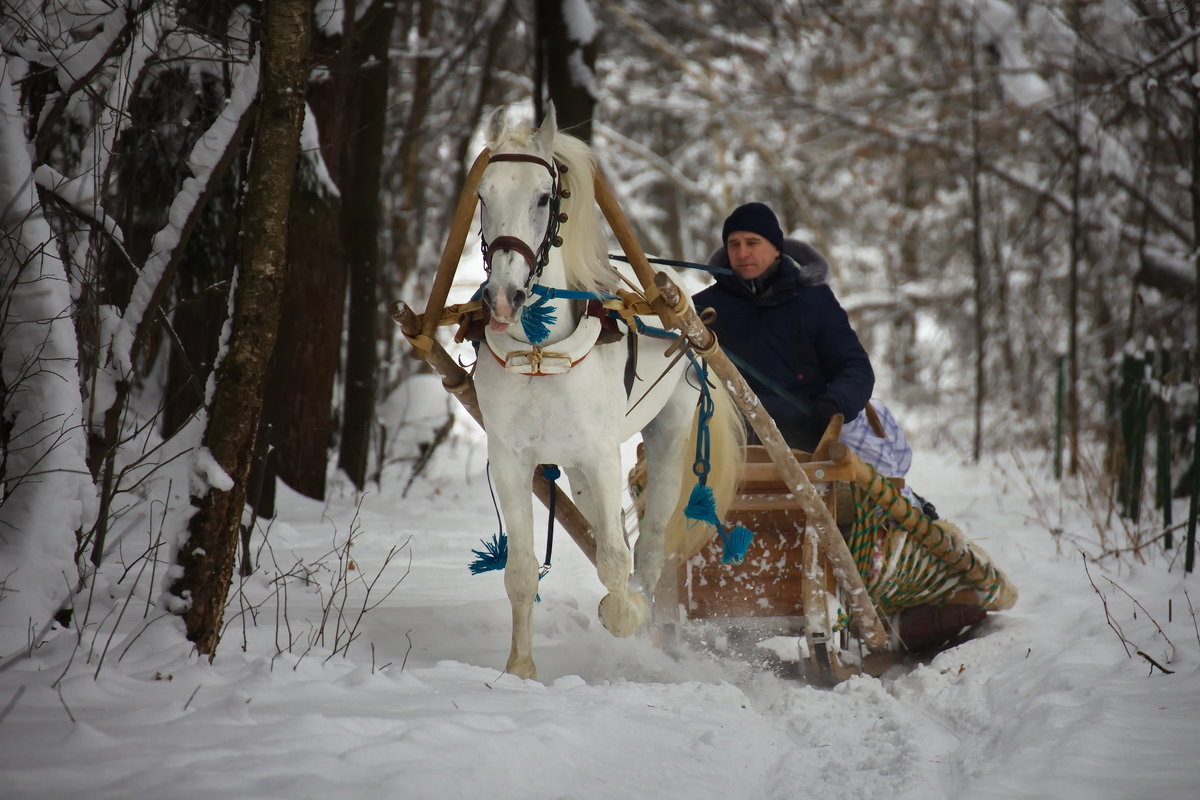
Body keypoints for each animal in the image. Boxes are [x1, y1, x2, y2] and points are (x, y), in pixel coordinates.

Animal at [472, 104, 744, 681]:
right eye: (483, 195)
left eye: (544, 197)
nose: (503, 297)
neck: (540, 354)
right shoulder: (509, 459)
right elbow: (521, 570)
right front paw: (520, 668)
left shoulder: (601, 452)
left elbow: (619, 564)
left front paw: (627, 616)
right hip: (573, 466)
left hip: (668, 436)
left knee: (651, 547)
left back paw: (650, 626)